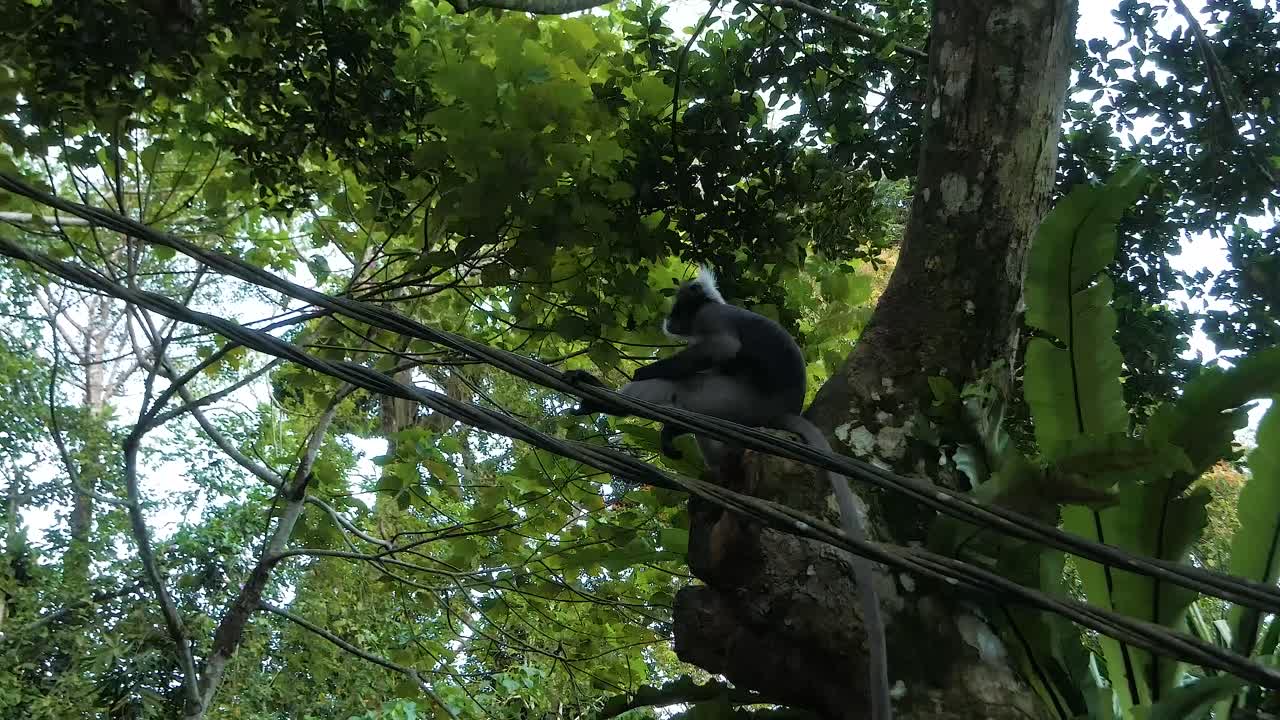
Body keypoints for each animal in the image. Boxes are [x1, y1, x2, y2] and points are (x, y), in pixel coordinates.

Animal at [565, 267, 892, 720]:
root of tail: (781, 411)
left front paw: (638, 376)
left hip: (733, 400)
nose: (669, 322)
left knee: (683, 387)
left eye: (679, 308)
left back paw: (612, 403)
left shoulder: (712, 324)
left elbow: (722, 349)